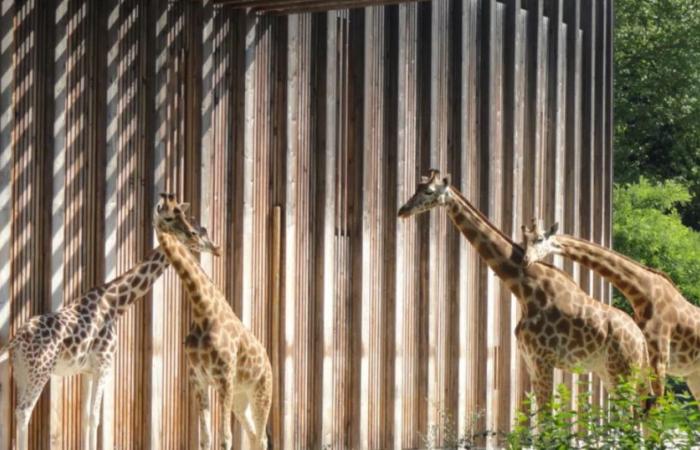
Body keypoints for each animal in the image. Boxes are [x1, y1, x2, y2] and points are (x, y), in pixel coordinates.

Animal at [0, 216, 219, 448]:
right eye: (195, 232)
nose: (215, 247)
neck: (115, 304)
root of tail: (16, 339)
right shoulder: (104, 365)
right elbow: (94, 417)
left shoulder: (87, 370)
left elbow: (86, 417)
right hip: (39, 372)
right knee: (24, 412)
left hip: (21, 371)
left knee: (17, 412)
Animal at [154, 193, 274, 450]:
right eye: (168, 217)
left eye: (185, 217)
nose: (217, 248)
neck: (202, 311)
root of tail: (269, 363)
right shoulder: (198, 379)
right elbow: (206, 438)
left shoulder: (224, 377)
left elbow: (225, 438)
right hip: (240, 397)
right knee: (253, 436)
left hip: (261, 392)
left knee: (261, 437)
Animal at [400, 171, 652, 410]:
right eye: (417, 187)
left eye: (429, 191)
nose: (403, 210)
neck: (524, 291)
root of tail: (641, 341)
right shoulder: (530, 360)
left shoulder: (543, 359)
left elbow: (546, 417)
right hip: (608, 370)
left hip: (622, 370)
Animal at [524, 220, 700, 400]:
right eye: (524, 239)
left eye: (539, 239)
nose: (525, 259)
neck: (642, 294)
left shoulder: (659, 359)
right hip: (693, 376)